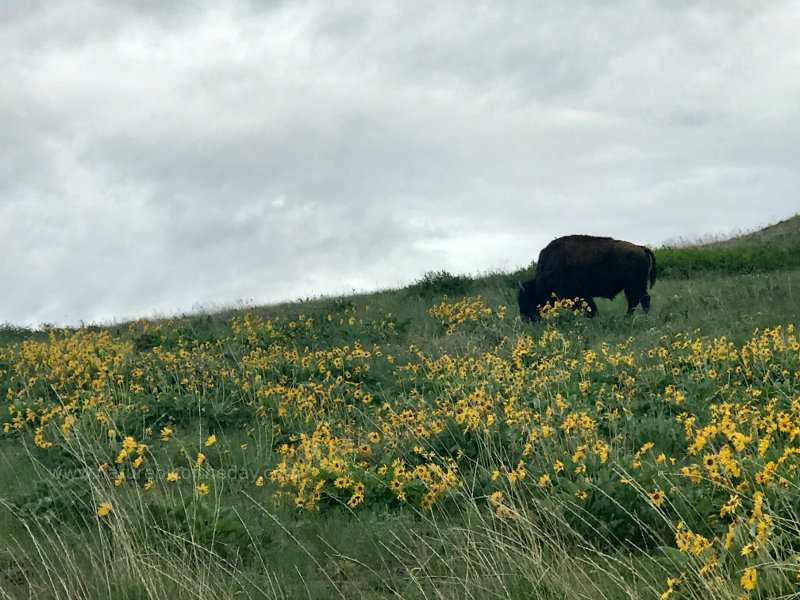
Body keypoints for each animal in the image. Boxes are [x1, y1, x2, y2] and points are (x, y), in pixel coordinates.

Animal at [520, 233, 656, 324]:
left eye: (527, 300)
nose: (526, 320)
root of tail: (642, 248)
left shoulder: (581, 296)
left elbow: (590, 309)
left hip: (635, 285)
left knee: (641, 300)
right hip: (632, 287)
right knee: (636, 301)